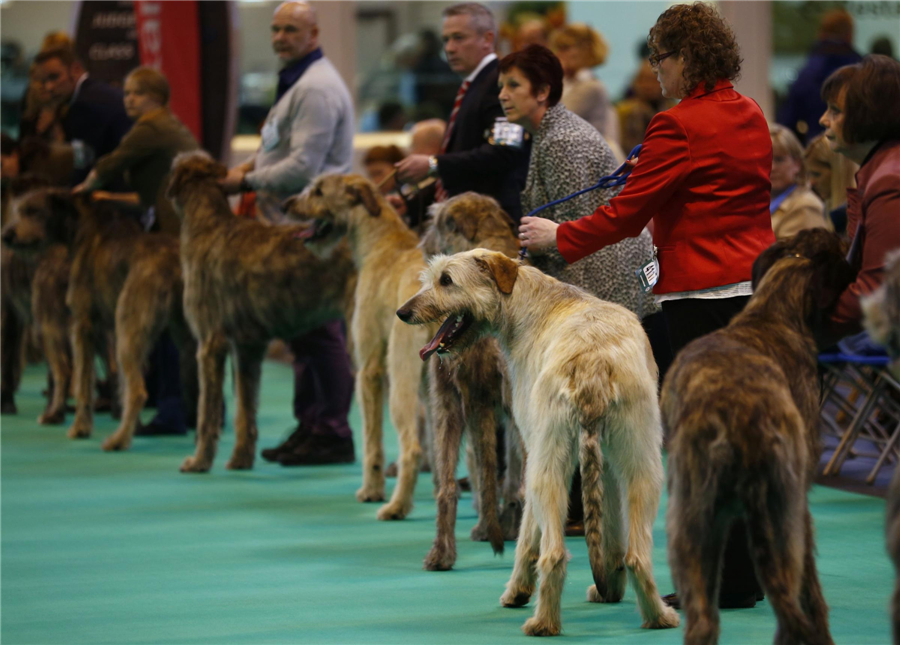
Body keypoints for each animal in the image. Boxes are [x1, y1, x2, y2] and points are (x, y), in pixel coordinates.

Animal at [284, 174, 432, 520]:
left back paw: (396, 506)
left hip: (402, 381)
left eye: (318, 191)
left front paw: (371, 489)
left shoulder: (369, 370)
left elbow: (371, 440)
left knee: (411, 446)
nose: (287, 204)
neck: (381, 243)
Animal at [396, 248, 676, 632]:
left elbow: (527, 533)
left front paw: (516, 591)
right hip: (642, 461)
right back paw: (657, 616)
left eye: (446, 280)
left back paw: (542, 622)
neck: (527, 300)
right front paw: (610, 586)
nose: (402, 312)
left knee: (553, 552)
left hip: (549, 465)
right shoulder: (605, 463)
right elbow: (610, 529)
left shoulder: (532, 451)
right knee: (636, 553)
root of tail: (592, 366)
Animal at [664, 228, 856, 644]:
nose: (856, 266)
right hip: (785, 515)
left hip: (693, 526)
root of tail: (740, 417)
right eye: (839, 246)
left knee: (706, 621)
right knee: (800, 604)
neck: (771, 313)